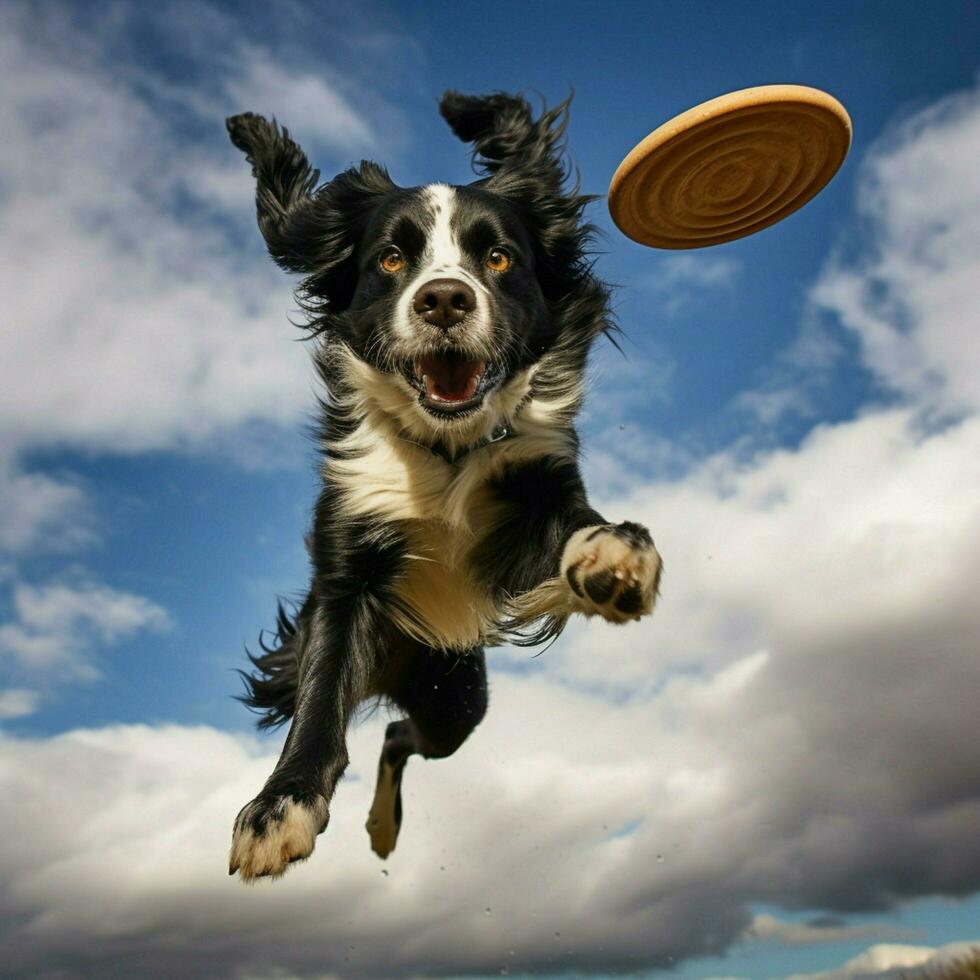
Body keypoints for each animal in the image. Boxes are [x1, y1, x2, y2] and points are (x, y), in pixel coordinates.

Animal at [226, 90, 664, 880]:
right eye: (392, 258)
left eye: (497, 257)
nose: (444, 301)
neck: (445, 449)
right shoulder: (347, 558)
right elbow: (320, 697)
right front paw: (279, 807)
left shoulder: (533, 490)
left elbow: (579, 523)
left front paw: (616, 555)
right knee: (382, 729)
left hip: (454, 698)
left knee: (400, 735)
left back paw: (383, 828)